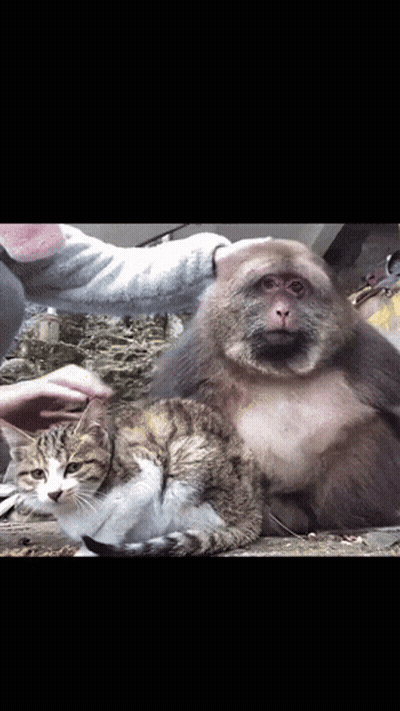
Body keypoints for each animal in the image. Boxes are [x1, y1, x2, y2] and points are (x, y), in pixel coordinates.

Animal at [149, 238, 400, 536]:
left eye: (296, 287)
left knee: (369, 432)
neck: (277, 369)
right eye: (269, 284)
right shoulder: (193, 361)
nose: (283, 310)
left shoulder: (362, 350)